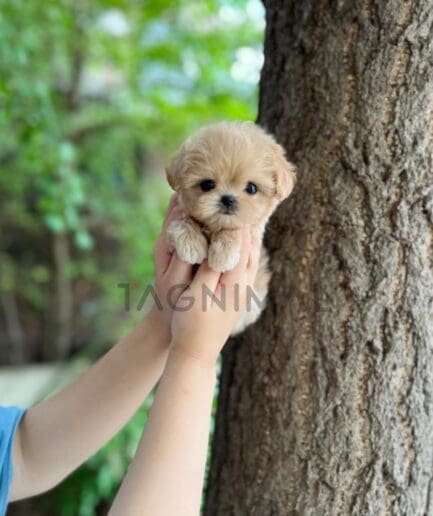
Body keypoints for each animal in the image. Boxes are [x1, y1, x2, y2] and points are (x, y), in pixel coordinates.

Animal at [165, 121, 294, 334]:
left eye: (251, 188)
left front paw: (224, 253)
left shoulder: (251, 232)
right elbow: (184, 220)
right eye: (207, 184)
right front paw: (190, 244)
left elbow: (236, 230)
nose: (228, 199)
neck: (213, 228)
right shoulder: (175, 216)